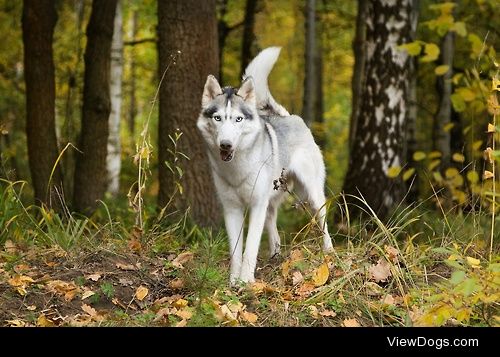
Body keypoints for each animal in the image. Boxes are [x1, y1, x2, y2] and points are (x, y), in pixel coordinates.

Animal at [197, 46, 334, 284]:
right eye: (217, 118)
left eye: (238, 119)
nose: (225, 144)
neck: (237, 168)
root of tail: (288, 116)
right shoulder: (231, 209)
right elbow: (235, 252)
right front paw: (233, 282)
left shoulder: (256, 206)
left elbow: (250, 249)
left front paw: (245, 282)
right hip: (271, 200)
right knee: (273, 226)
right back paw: (275, 256)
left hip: (312, 194)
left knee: (323, 220)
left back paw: (329, 252)